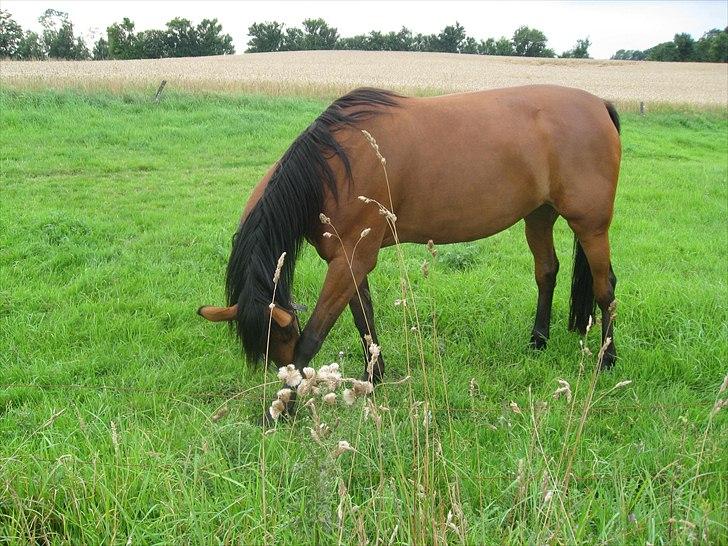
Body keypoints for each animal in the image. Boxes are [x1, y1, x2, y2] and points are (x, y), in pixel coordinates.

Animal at [199, 85, 620, 388]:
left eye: (282, 341)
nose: (280, 375)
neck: (333, 169)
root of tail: (600, 105)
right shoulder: (349, 259)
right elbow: (364, 320)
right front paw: (374, 376)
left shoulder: (352, 259)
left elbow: (316, 335)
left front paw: (283, 407)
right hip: (539, 215)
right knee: (546, 271)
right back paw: (537, 341)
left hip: (591, 225)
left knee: (606, 288)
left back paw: (607, 359)